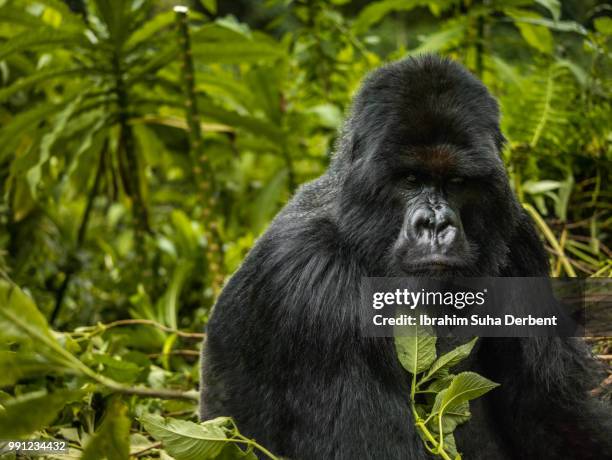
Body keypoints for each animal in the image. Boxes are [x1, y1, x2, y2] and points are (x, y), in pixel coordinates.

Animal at [200, 55, 608, 458]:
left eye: (457, 182)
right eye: (411, 179)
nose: (435, 225)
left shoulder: (520, 239)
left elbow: (550, 414)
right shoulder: (311, 283)